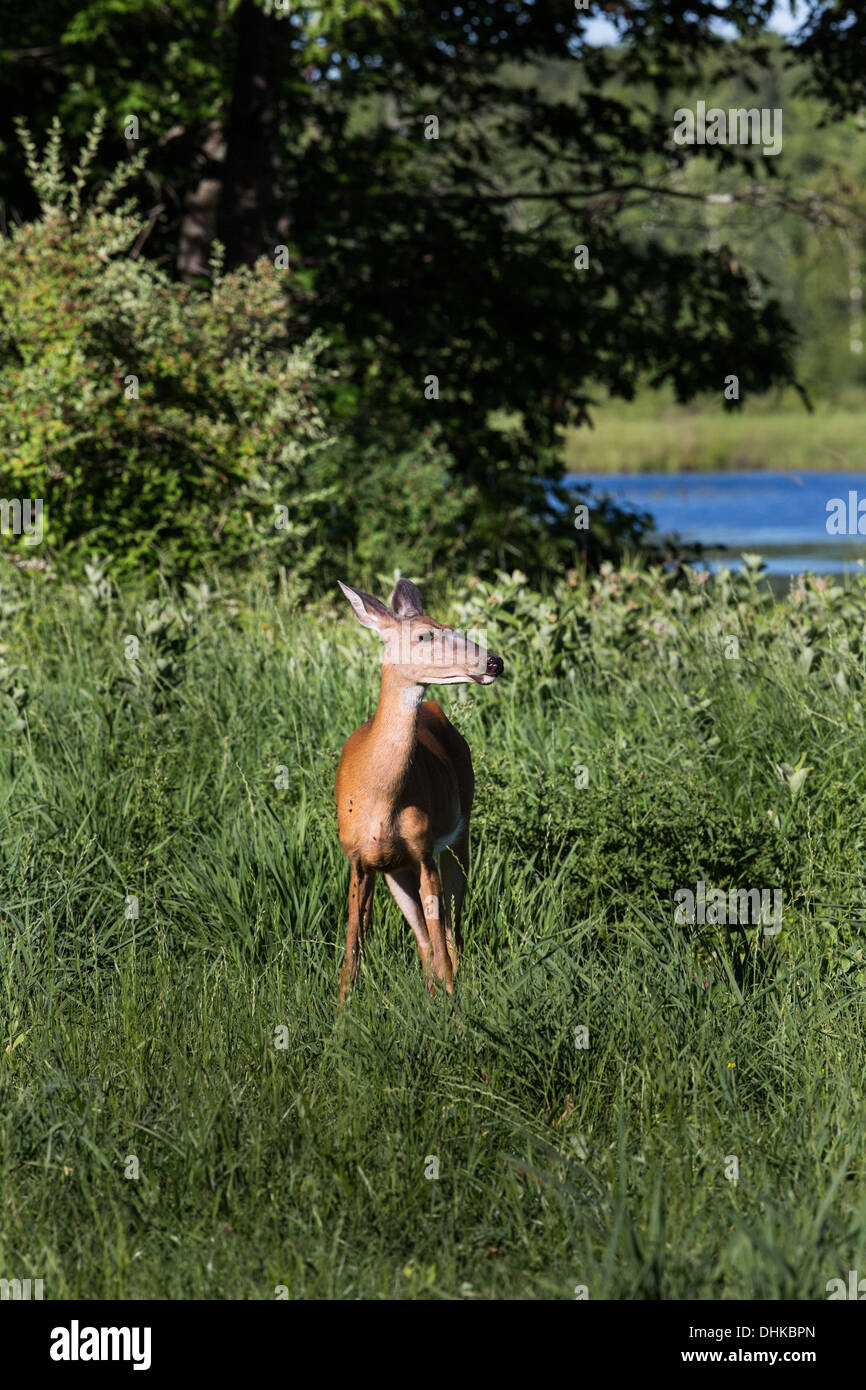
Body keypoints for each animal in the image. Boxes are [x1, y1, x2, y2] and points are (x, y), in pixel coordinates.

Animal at [335, 581, 505, 1006]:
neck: (380, 799)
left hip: (458, 838)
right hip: (397, 870)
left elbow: (442, 944)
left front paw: (457, 1014)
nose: (494, 662)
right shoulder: (359, 860)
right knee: (427, 939)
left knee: (451, 932)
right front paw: (341, 1013)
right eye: (425, 635)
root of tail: (434, 708)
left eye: (453, 627)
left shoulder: (424, 850)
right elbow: (352, 950)